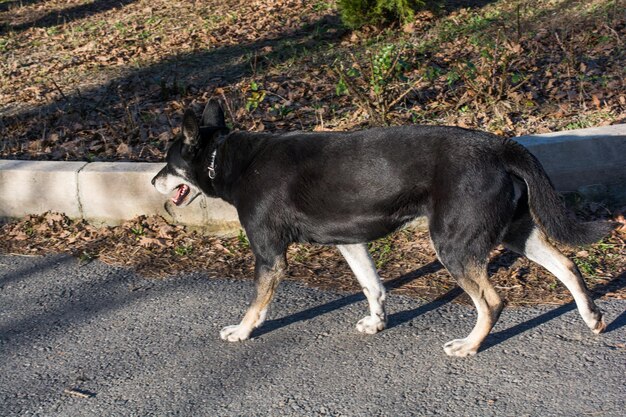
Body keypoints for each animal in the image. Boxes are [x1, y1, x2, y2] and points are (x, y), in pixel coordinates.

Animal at [154, 102, 612, 356]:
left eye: (169, 162)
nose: (154, 181)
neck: (228, 158)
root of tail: (499, 145)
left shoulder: (269, 256)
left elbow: (256, 305)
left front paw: (242, 331)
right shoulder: (350, 241)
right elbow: (371, 285)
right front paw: (377, 322)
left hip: (453, 243)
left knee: (493, 301)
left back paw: (469, 346)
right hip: (513, 230)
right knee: (567, 264)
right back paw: (591, 317)